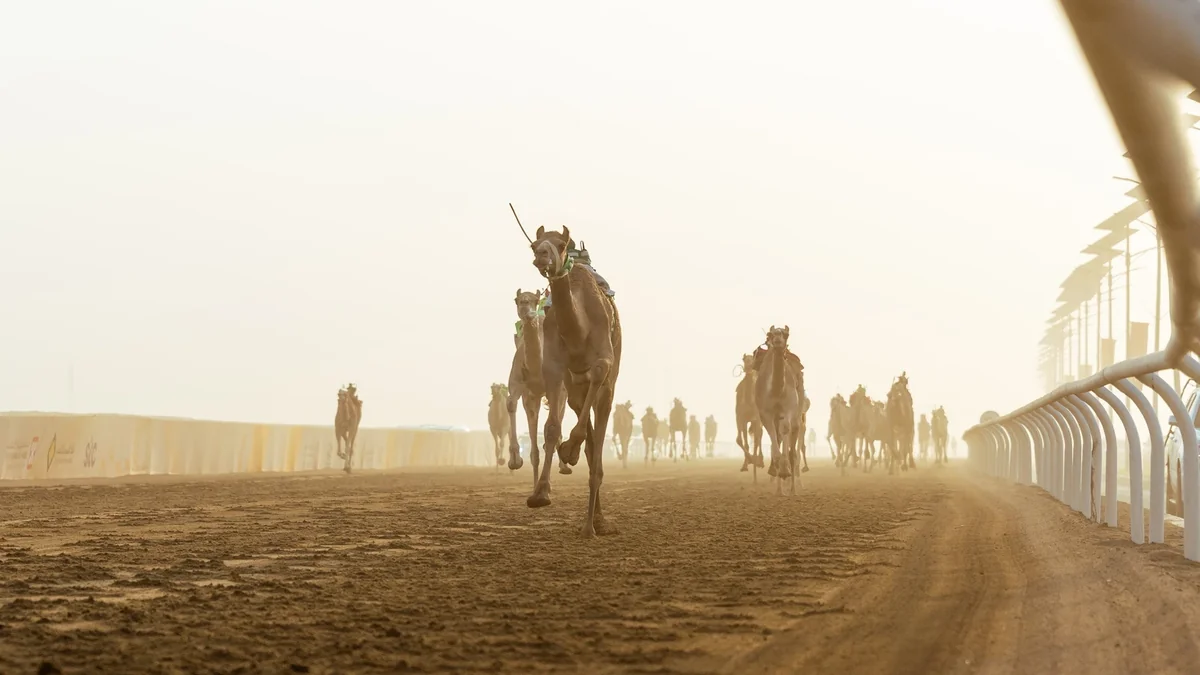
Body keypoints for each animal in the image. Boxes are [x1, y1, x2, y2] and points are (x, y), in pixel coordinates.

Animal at [529, 225, 622, 537]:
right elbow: (551, 428)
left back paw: (593, 525)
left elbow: (599, 369)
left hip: (609, 388)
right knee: (592, 446)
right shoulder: (554, 366)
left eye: (560, 244)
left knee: (598, 440)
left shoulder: (604, 360)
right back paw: (596, 521)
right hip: (575, 391)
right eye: (534, 244)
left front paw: (569, 451)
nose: (541, 255)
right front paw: (540, 494)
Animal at [754, 326, 802, 495]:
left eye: (786, 334)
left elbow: (785, 428)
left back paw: (792, 489)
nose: (777, 341)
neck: (776, 391)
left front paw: (784, 469)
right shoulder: (765, 412)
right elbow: (773, 436)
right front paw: (777, 468)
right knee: (777, 436)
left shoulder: (789, 408)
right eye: (770, 334)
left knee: (792, 445)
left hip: (797, 417)